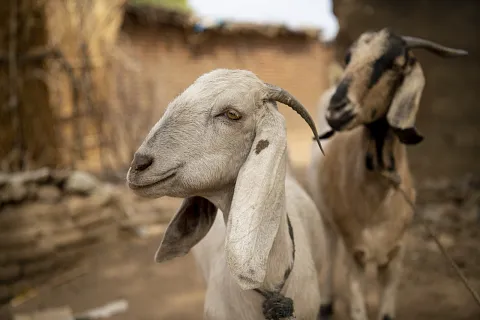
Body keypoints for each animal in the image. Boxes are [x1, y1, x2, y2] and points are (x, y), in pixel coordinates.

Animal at [306, 28, 466, 320]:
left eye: (395, 64)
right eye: (348, 58)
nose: (337, 109)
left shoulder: (396, 255)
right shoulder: (355, 255)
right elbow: (358, 309)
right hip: (325, 214)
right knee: (330, 248)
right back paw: (325, 303)